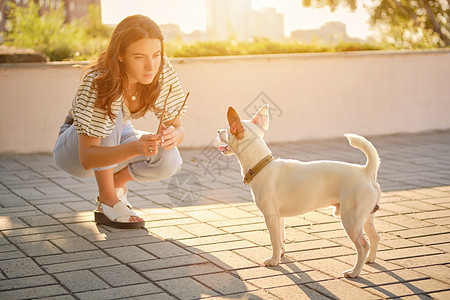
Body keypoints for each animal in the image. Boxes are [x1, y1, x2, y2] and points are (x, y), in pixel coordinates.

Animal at [218, 104, 380, 278]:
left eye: (227, 130)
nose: (217, 131)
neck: (262, 166)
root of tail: (366, 171)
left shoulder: (270, 216)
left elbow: (274, 240)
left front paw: (274, 261)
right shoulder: (279, 217)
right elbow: (280, 238)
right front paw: (280, 255)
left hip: (351, 219)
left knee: (363, 246)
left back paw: (354, 272)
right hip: (365, 217)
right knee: (375, 237)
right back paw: (370, 260)